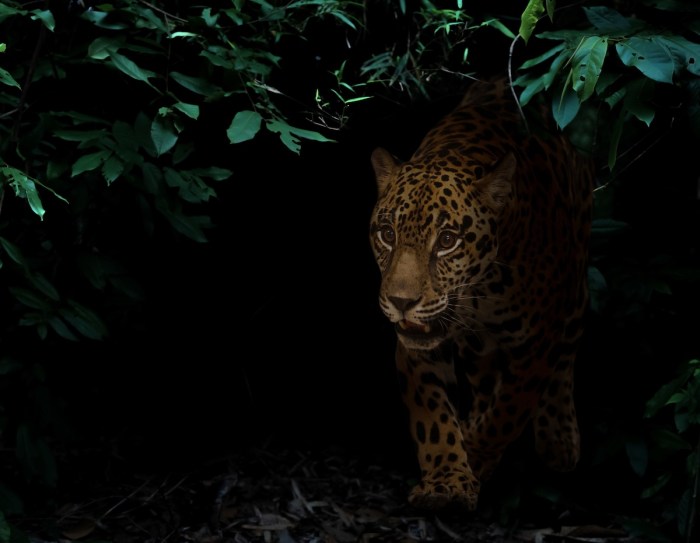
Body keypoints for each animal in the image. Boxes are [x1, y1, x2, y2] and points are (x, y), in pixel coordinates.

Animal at [368, 77, 593, 511]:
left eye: (448, 241)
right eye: (387, 234)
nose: (402, 302)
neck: (479, 293)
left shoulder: (536, 343)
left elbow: (509, 410)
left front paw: (473, 454)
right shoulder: (418, 346)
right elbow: (433, 415)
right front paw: (447, 480)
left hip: (576, 284)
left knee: (568, 348)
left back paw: (559, 438)